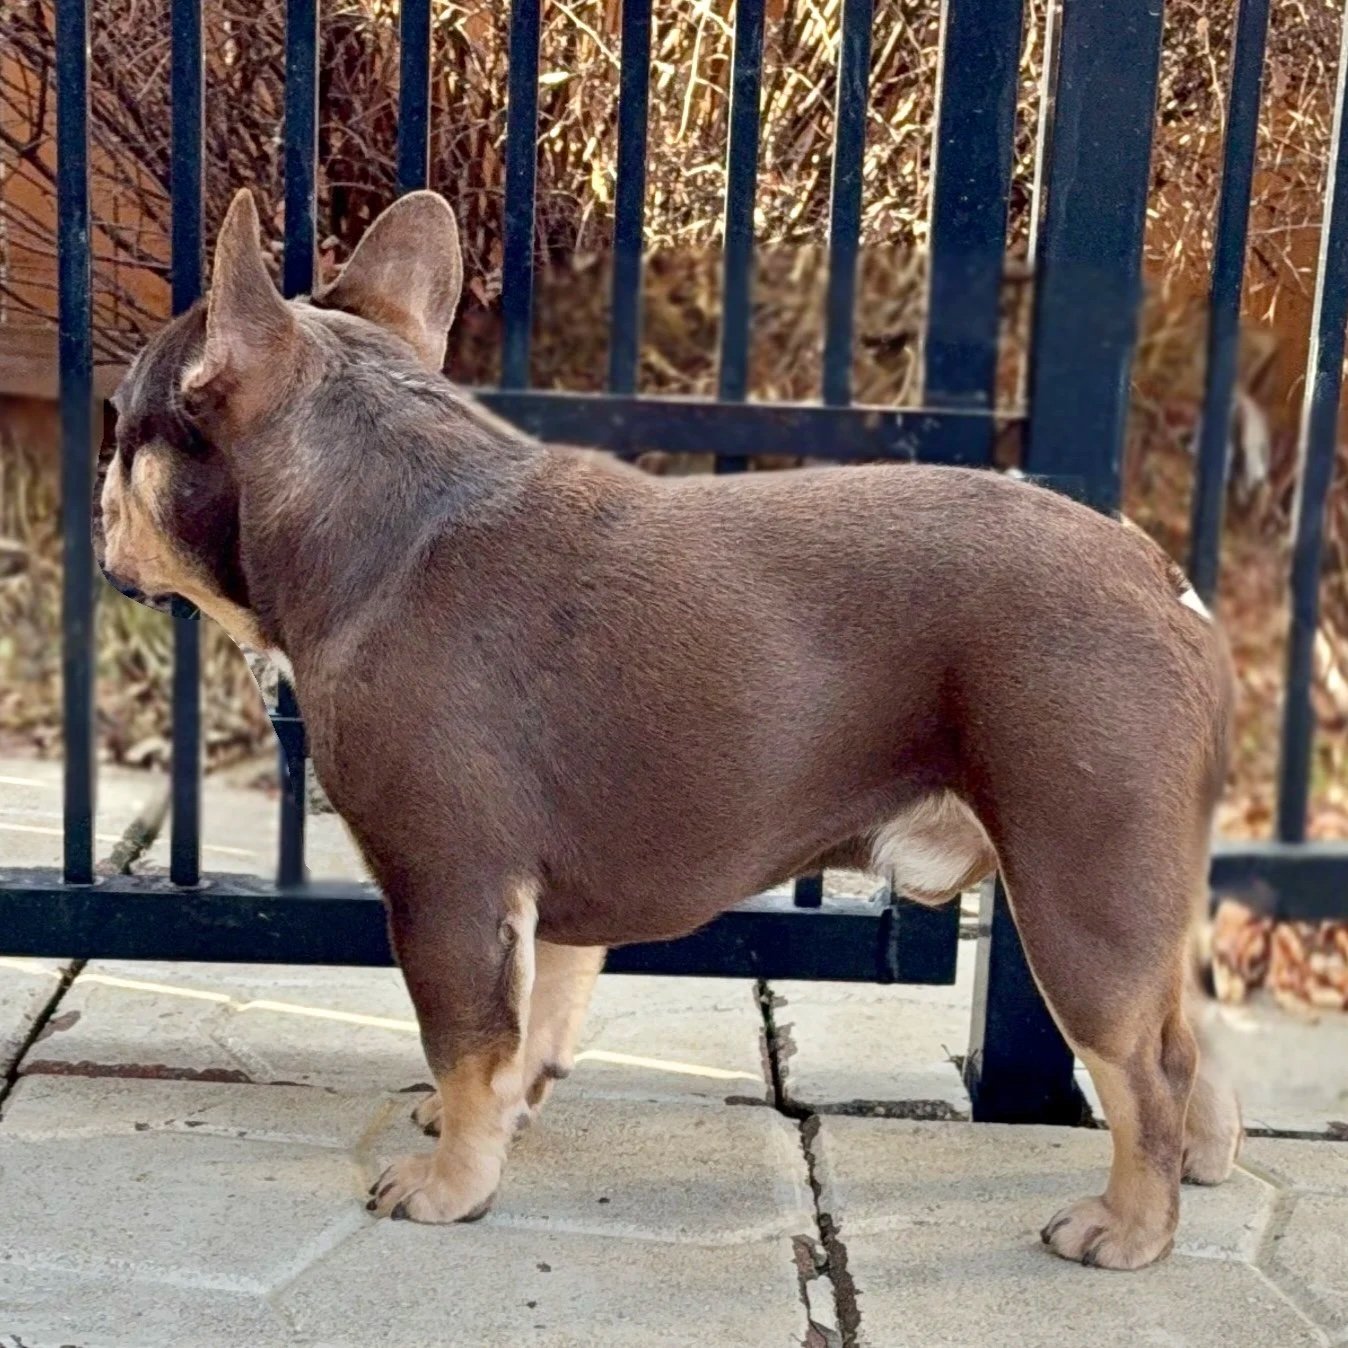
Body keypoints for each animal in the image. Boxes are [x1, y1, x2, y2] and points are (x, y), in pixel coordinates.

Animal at [96, 188, 1242, 1270]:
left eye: (118, 422)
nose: (100, 490)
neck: (371, 511)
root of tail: (1159, 577)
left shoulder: (446, 888)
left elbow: (465, 1041)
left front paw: (450, 1184)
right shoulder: (538, 907)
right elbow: (528, 1029)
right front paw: (493, 1128)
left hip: (1078, 891)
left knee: (1146, 1065)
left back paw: (1130, 1227)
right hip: (1134, 892)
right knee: (1197, 1023)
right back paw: (1204, 1162)